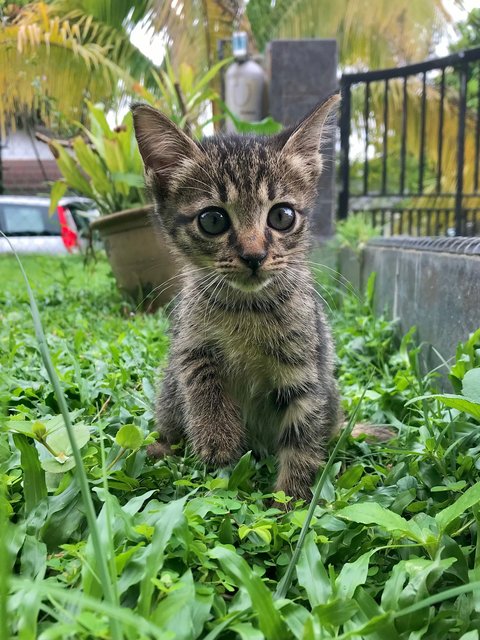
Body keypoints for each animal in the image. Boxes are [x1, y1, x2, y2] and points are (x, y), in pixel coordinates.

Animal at [132, 95, 342, 502]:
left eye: (282, 215)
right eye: (213, 220)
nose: (254, 256)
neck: (248, 307)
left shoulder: (305, 366)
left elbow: (302, 435)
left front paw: (291, 499)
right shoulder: (189, 343)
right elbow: (201, 379)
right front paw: (217, 437)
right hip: (168, 391)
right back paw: (160, 449)